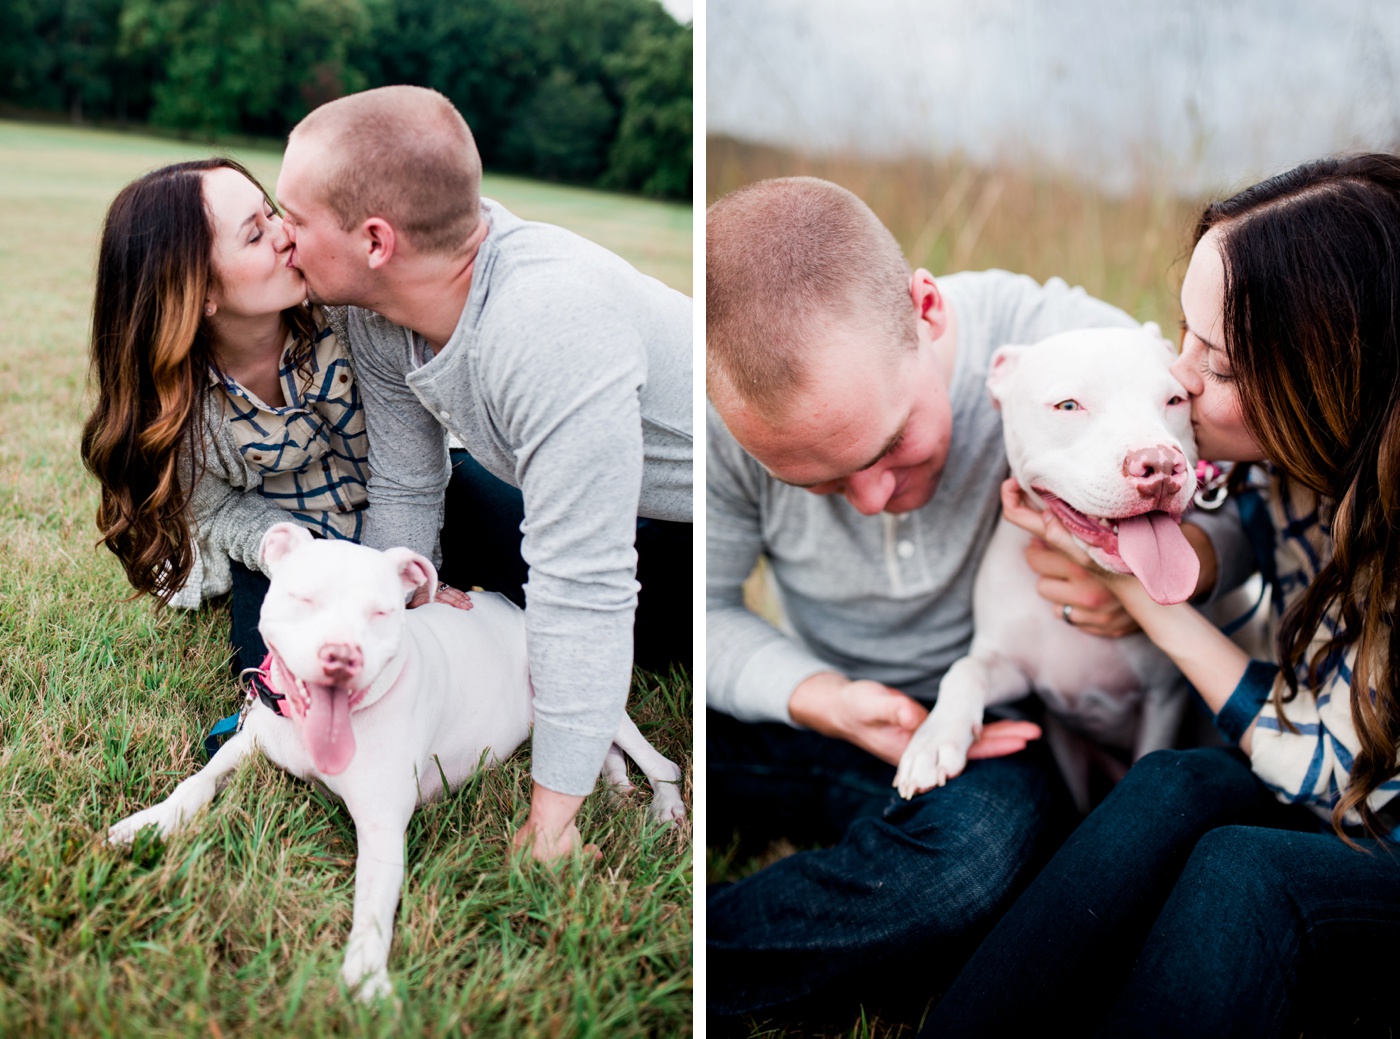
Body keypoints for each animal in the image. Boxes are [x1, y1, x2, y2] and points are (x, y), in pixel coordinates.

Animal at [107, 523, 683, 1002]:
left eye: (382, 612)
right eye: (304, 598)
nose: (341, 654)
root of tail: (513, 607)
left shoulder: (383, 828)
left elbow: (373, 903)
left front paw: (365, 976)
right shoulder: (246, 742)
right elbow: (196, 784)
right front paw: (148, 824)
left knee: (655, 760)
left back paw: (664, 809)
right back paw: (615, 788)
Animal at [896, 327, 1204, 812]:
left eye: (1175, 400)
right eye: (1068, 406)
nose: (1159, 466)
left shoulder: (1164, 700)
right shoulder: (1017, 675)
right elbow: (965, 669)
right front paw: (933, 740)